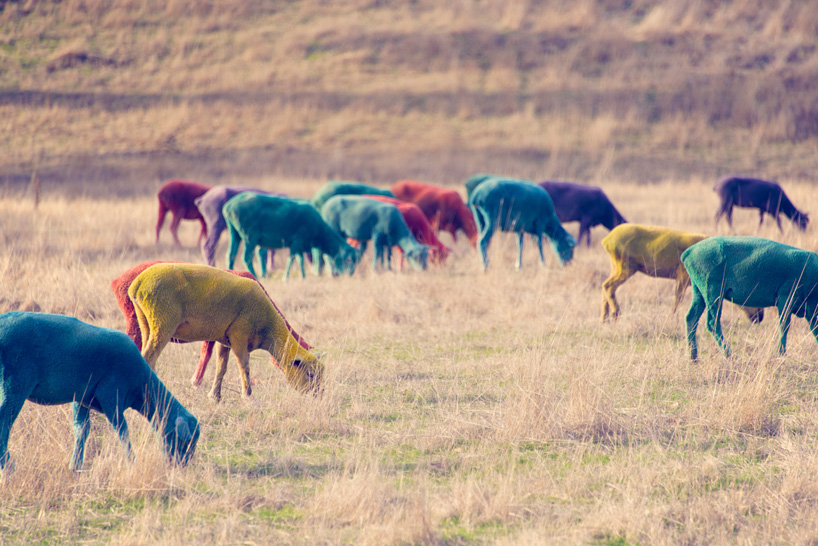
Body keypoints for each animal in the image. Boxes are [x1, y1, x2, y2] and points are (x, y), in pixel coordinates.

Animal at [0, 310, 198, 472]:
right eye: (186, 441)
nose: (180, 467)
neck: (142, 387)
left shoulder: (81, 398)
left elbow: (82, 430)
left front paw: (75, 467)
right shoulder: (111, 393)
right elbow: (122, 431)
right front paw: (132, 462)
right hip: (15, 382)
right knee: (4, 421)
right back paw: (8, 466)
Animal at [126, 262, 320, 402]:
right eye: (310, 374)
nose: (316, 395)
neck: (268, 326)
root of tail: (138, 283)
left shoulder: (224, 339)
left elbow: (221, 367)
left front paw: (215, 396)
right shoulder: (239, 335)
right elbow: (244, 365)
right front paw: (247, 396)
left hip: (146, 322)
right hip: (163, 323)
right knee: (149, 357)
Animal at [596, 224, 760, 326]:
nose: (759, 317)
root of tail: (606, 241)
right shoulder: (682, 276)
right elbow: (678, 299)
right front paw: (673, 318)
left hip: (616, 266)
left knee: (605, 286)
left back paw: (604, 319)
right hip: (625, 266)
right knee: (608, 286)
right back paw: (615, 314)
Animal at [680, 236, 816, 360]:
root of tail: (689, 251)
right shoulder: (786, 298)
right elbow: (784, 325)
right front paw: (781, 354)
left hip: (699, 291)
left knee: (691, 318)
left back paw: (694, 358)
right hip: (713, 292)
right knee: (712, 322)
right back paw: (729, 355)